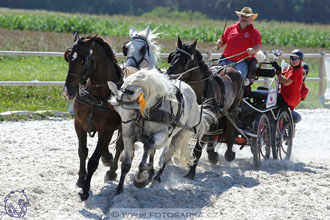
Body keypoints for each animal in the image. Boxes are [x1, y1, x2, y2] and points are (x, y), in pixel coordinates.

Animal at [63, 32, 124, 201]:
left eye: (83, 61)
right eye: (69, 58)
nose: (68, 90)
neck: (98, 96)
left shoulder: (107, 130)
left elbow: (93, 160)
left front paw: (85, 189)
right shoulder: (79, 125)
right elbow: (82, 152)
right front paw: (80, 179)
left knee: (120, 147)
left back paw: (112, 171)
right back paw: (107, 158)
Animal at [168, 36, 245, 180]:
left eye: (185, 60)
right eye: (173, 57)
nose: (169, 75)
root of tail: (235, 70)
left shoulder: (205, 120)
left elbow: (197, 148)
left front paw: (191, 172)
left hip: (232, 111)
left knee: (230, 133)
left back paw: (229, 154)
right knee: (213, 133)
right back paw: (212, 154)